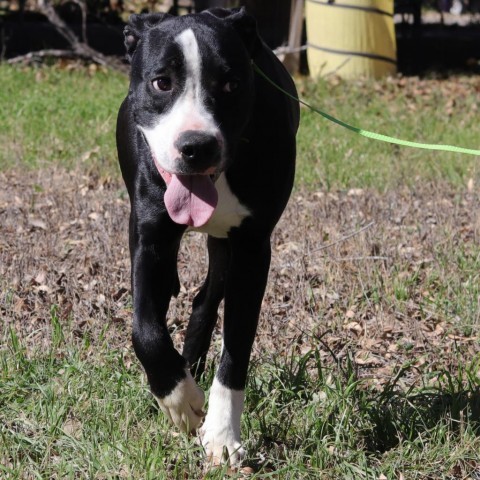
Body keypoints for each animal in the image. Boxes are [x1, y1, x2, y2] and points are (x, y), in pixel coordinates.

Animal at [116, 7, 296, 464]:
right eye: (162, 82)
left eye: (230, 84)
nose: (196, 146)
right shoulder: (149, 236)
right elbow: (145, 327)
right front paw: (178, 398)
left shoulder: (252, 248)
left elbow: (238, 342)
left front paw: (220, 433)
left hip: (225, 246)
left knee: (206, 301)